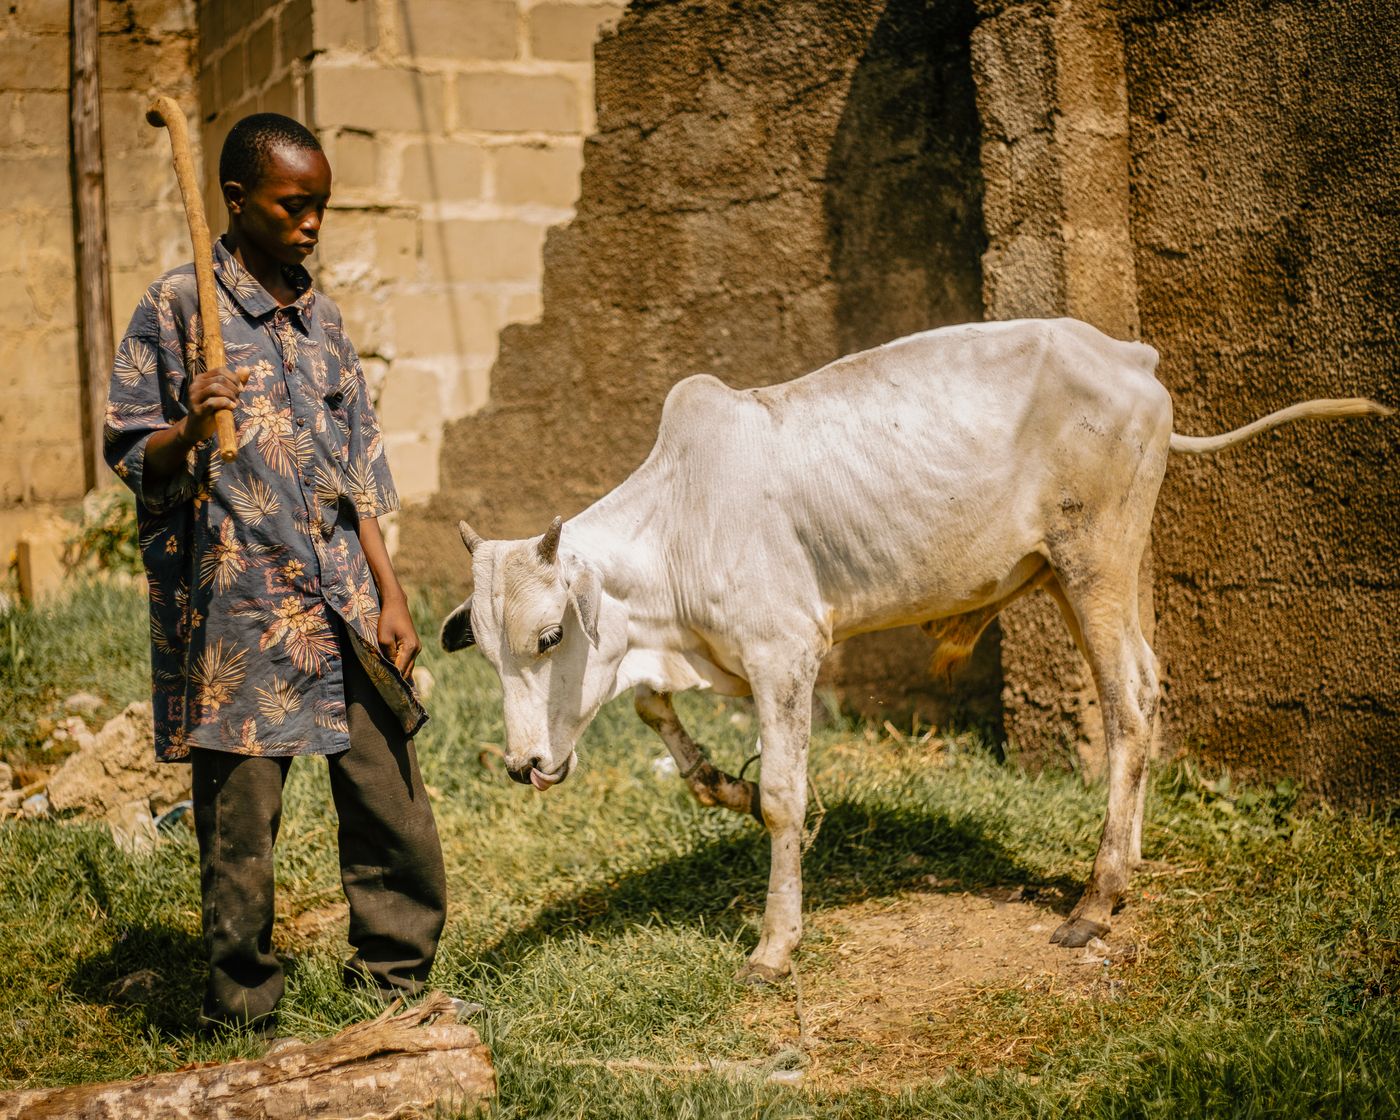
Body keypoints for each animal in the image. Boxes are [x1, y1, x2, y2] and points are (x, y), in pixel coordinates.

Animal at [439, 317, 1390, 983]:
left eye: (549, 636)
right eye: (486, 655)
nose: (524, 764)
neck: (679, 523)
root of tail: (1134, 360)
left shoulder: (787, 651)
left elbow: (783, 799)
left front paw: (773, 945)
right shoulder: (690, 654)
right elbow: (651, 706)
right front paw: (717, 783)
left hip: (1096, 560)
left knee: (1130, 702)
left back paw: (1098, 895)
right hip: (1071, 573)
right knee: (1149, 687)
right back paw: (1129, 869)